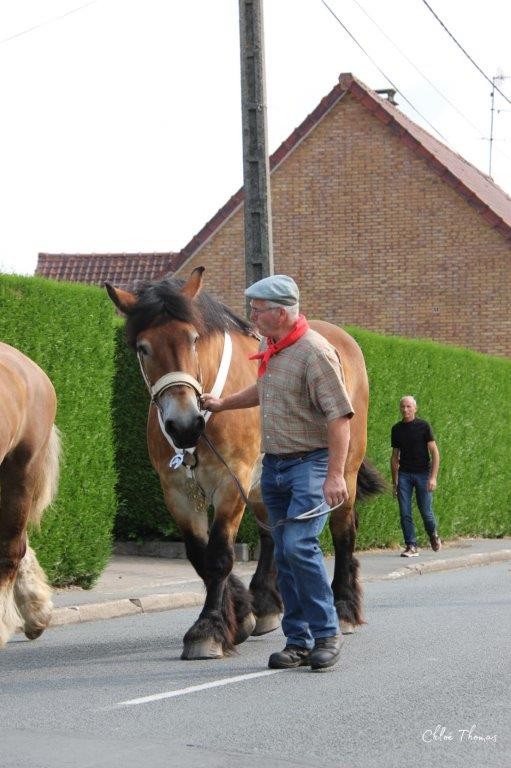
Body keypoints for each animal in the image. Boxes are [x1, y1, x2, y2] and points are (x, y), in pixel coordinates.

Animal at [107, 268, 384, 656]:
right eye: (143, 347)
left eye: (193, 339)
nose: (184, 425)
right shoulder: (176, 490)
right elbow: (199, 554)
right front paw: (237, 611)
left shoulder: (230, 481)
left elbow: (220, 555)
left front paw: (208, 629)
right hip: (262, 483)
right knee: (273, 536)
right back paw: (266, 604)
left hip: (344, 470)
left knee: (344, 532)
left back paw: (343, 607)